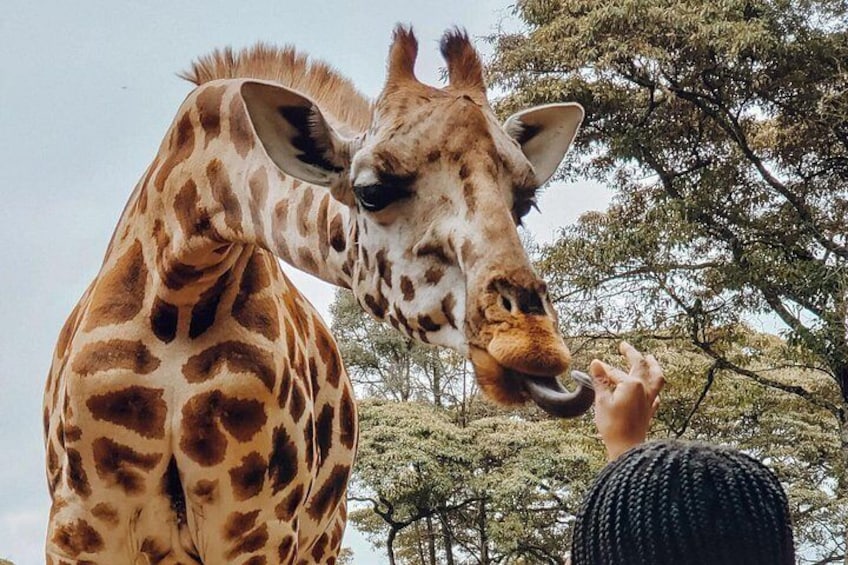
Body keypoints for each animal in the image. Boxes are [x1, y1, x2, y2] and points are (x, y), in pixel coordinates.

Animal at [43, 26, 594, 564]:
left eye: (524, 203)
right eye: (372, 191)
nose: (535, 345)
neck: (180, 290)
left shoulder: (258, 526)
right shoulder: (82, 522)